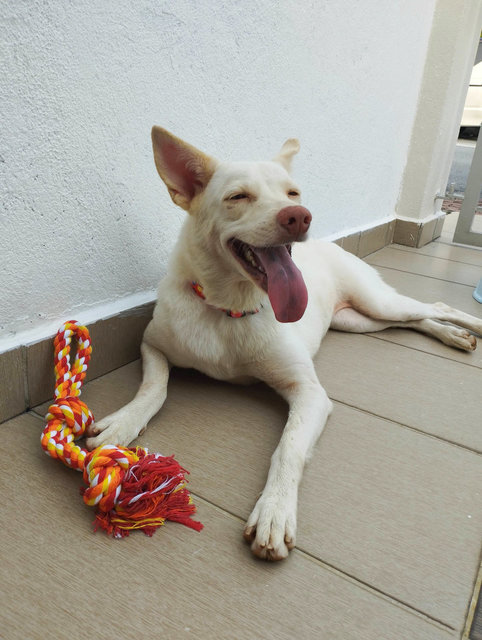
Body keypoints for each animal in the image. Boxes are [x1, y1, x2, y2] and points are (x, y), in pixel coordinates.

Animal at [85, 126, 478, 560]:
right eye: (238, 196)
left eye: (293, 193)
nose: (298, 216)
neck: (230, 309)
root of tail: (332, 243)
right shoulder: (152, 344)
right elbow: (154, 388)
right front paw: (122, 425)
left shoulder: (309, 392)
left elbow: (288, 447)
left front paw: (274, 511)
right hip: (358, 321)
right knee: (415, 319)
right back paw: (452, 334)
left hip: (377, 303)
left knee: (435, 306)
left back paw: (466, 326)